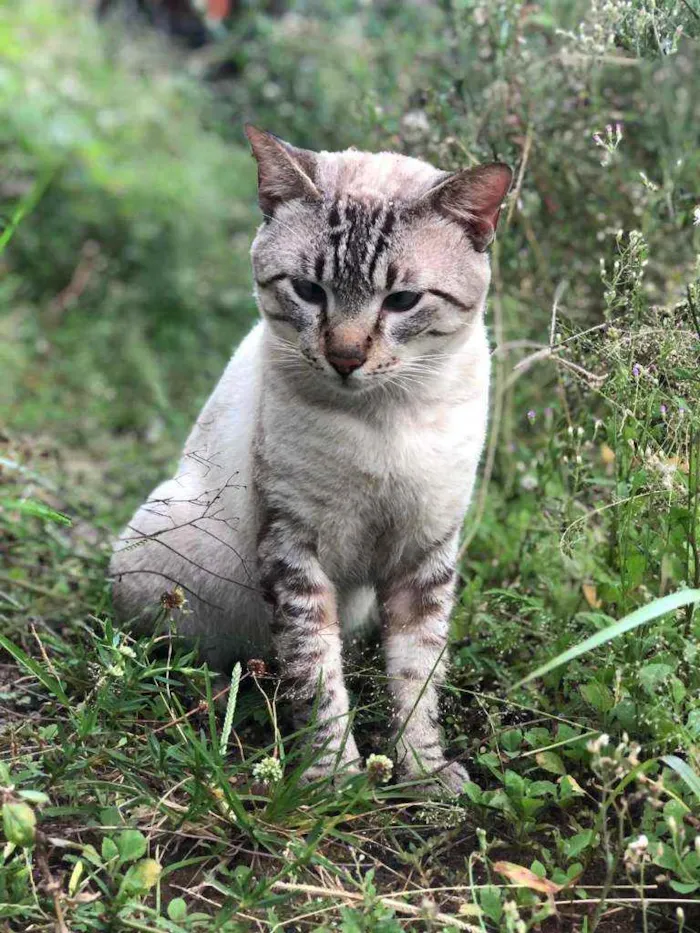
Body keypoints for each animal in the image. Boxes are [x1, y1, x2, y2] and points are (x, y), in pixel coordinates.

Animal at [110, 125, 516, 792]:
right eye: (308, 291)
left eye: (403, 300)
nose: (346, 357)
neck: (382, 419)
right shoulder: (293, 547)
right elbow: (316, 676)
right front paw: (333, 780)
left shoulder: (425, 552)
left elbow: (417, 676)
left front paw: (425, 775)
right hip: (166, 551)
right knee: (194, 654)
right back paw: (220, 694)